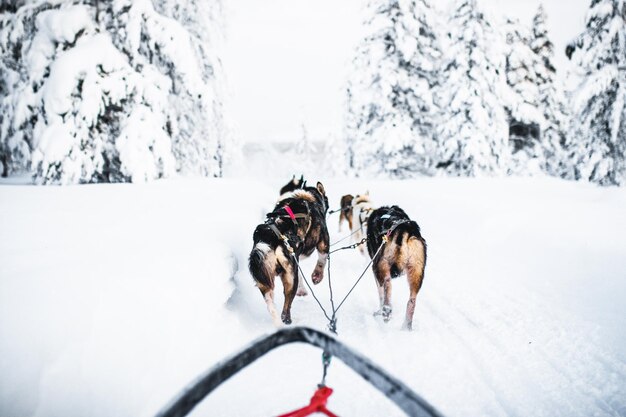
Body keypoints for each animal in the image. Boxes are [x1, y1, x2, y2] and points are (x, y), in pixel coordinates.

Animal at [247, 180, 330, 324]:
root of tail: (270, 237)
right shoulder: (323, 241)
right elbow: (322, 259)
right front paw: (317, 276)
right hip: (290, 279)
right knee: (285, 310)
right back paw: (287, 321)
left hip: (265, 280)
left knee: (271, 307)